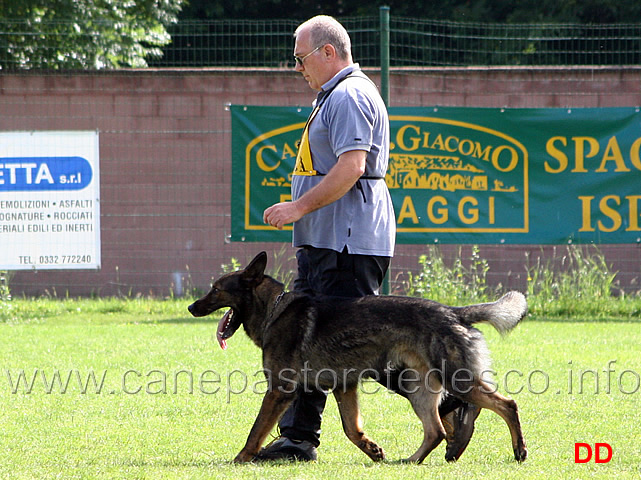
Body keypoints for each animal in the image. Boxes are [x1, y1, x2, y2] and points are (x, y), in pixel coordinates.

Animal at [188, 253, 528, 464]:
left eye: (216, 290)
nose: (191, 307)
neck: (274, 308)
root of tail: (454, 312)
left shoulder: (279, 391)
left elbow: (256, 430)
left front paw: (241, 459)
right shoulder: (343, 387)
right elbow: (351, 429)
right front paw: (373, 450)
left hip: (453, 379)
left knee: (507, 404)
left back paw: (518, 450)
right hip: (416, 386)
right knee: (436, 430)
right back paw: (413, 460)